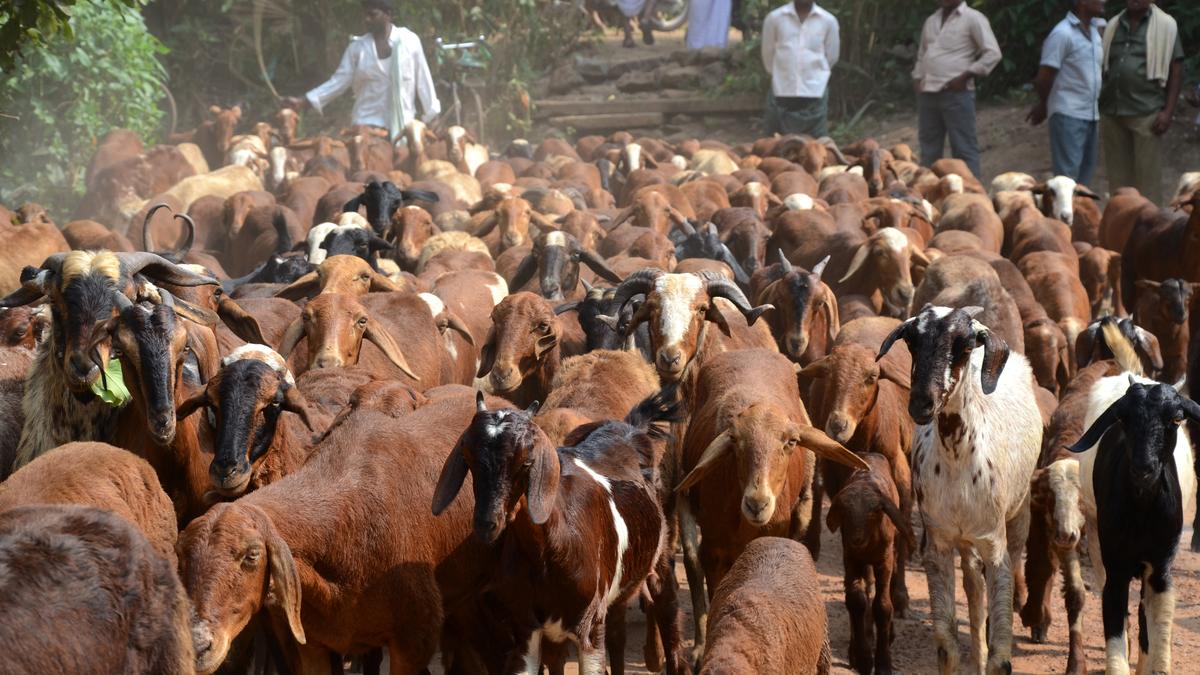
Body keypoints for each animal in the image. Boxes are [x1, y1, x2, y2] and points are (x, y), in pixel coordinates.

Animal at [436, 389, 691, 672]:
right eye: (469, 458)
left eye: (526, 462)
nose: (487, 523)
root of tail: (630, 427)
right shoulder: (526, 626)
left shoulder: (589, 626)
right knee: (616, 632)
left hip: (661, 549)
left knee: (666, 601)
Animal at [1065, 374, 1195, 667]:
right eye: (1122, 418)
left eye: (1176, 418)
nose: (1142, 469)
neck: (1142, 510)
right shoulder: (1115, 567)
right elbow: (1115, 633)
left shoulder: (1161, 569)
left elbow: (1159, 636)